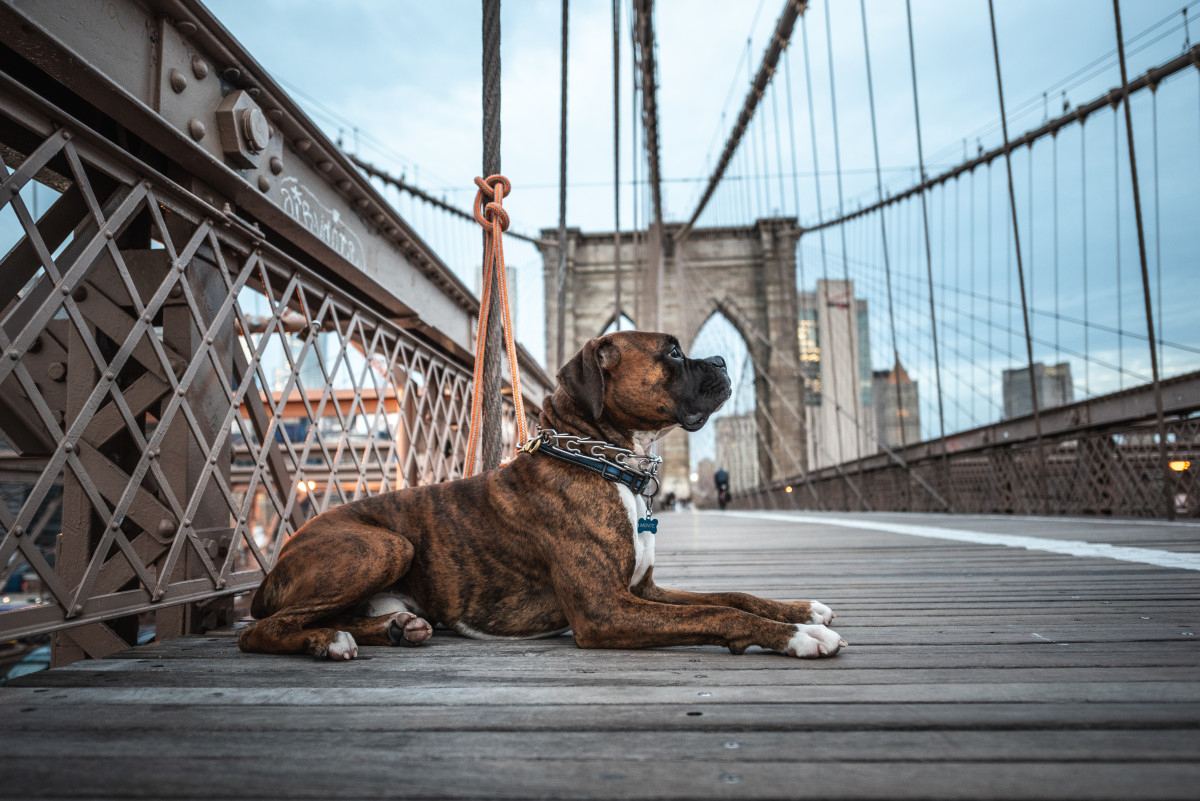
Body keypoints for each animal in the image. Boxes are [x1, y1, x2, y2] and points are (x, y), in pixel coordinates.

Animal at [238, 328, 849, 661]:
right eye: (672, 354)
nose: (721, 361)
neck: (599, 458)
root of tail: (276, 561)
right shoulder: (606, 611)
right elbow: (721, 612)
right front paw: (798, 635)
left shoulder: (643, 592)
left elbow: (732, 595)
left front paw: (801, 610)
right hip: (384, 545)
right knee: (262, 630)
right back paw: (330, 641)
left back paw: (394, 627)